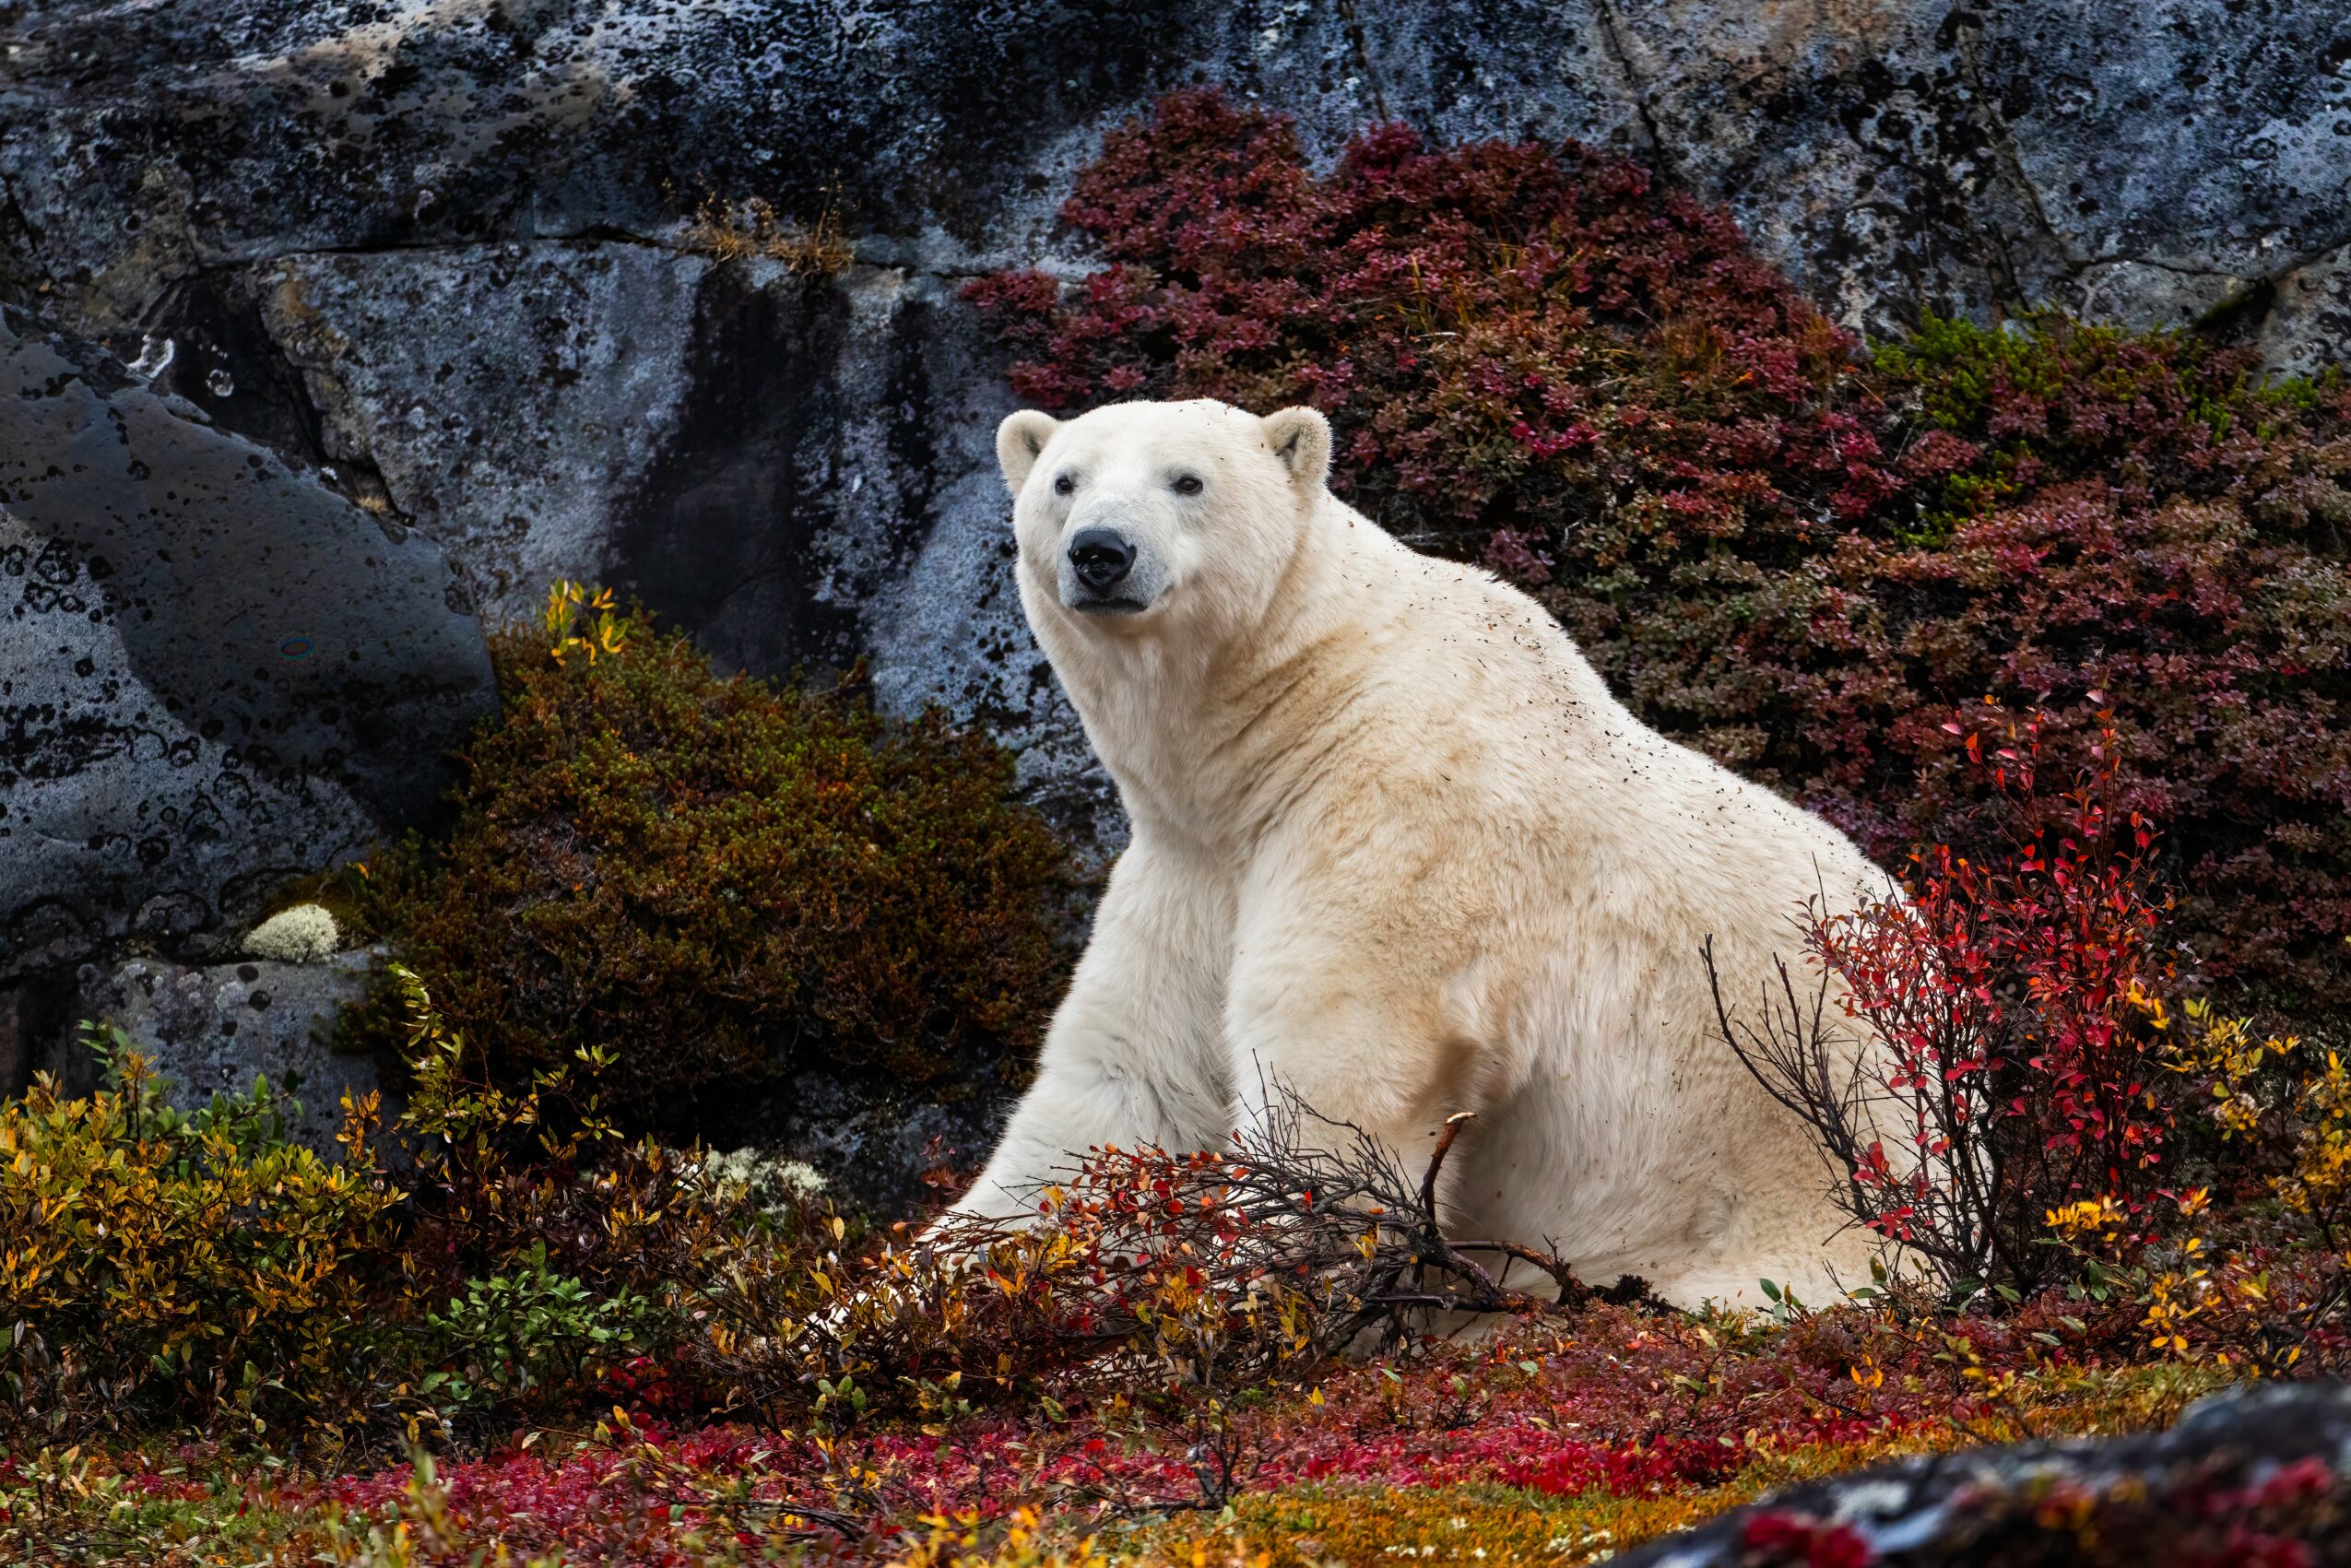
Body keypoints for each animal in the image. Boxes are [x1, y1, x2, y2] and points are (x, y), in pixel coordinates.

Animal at [951, 396, 1888, 1308]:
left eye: (1187, 479)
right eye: (1065, 480)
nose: (1101, 552)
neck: (1299, 711)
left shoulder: (1405, 814)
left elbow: (1334, 1077)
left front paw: (1249, 1295)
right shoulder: (1194, 867)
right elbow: (1126, 1085)